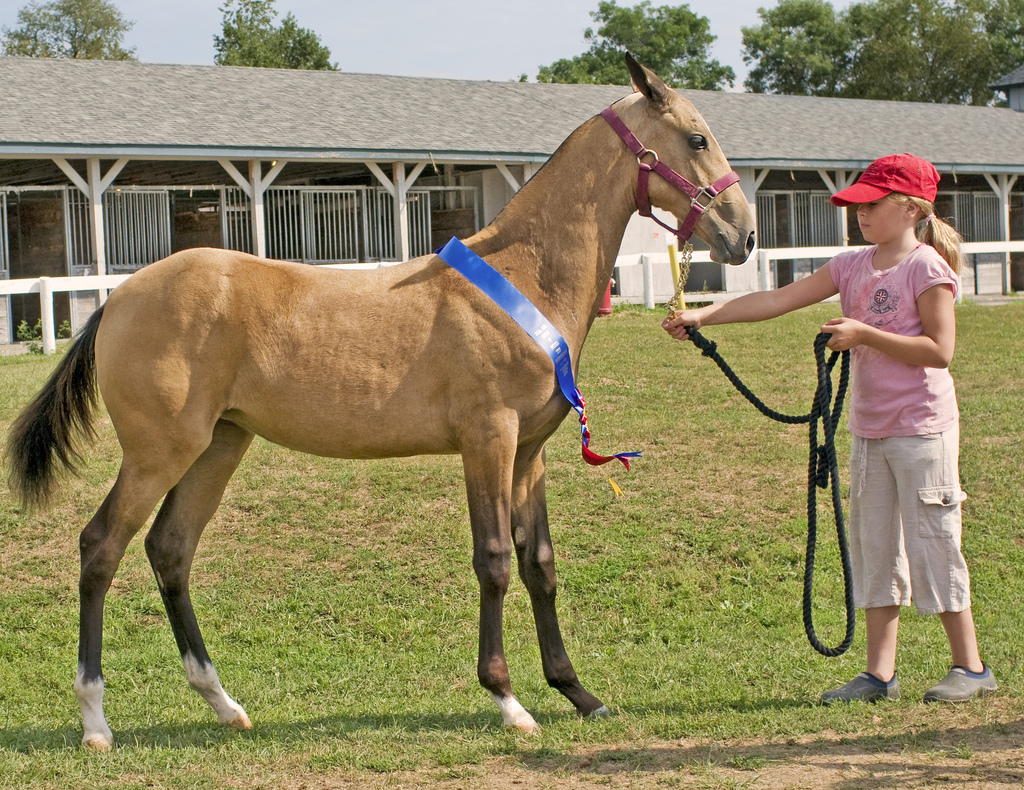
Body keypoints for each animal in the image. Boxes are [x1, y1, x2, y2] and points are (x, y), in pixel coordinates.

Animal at [4, 55, 757, 745]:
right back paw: (95, 721)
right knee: (101, 547)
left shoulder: (529, 454)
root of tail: (118, 297)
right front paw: (508, 701)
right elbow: (494, 561)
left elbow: (539, 564)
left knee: (170, 550)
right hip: (158, 452)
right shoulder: (487, 440)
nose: (743, 235)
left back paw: (223, 703)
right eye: (696, 138)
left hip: (218, 445)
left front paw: (578, 693)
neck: (523, 276)